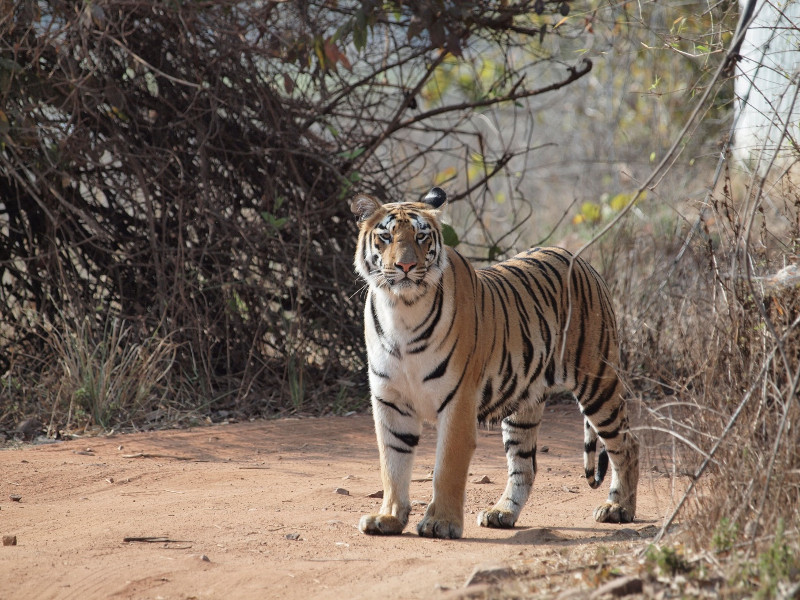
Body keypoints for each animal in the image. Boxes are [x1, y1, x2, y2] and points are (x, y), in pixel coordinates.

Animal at [354, 188, 640, 540]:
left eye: (421, 237)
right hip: (523, 404)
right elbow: (392, 463)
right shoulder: (390, 399)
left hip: (597, 381)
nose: (406, 265)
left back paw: (618, 508)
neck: (401, 309)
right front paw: (389, 518)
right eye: (385, 236)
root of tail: (580, 259)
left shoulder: (458, 400)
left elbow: (447, 468)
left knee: (627, 444)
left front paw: (440, 523)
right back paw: (502, 513)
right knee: (525, 465)